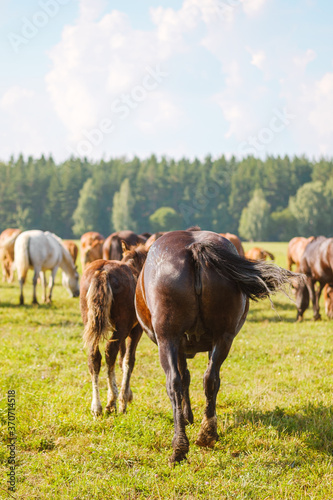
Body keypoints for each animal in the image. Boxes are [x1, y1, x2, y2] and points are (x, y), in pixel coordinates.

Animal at [80, 244, 147, 416]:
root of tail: (102, 272)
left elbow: (121, 359)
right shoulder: (135, 331)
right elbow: (128, 360)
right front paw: (125, 398)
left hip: (91, 323)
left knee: (94, 357)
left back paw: (96, 406)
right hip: (122, 326)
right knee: (110, 351)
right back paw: (112, 402)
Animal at [134, 230, 296, 464]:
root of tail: (195, 246)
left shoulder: (178, 345)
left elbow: (184, 378)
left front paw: (187, 416)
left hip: (167, 339)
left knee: (174, 383)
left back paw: (179, 445)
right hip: (224, 337)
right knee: (211, 379)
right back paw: (208, 433)